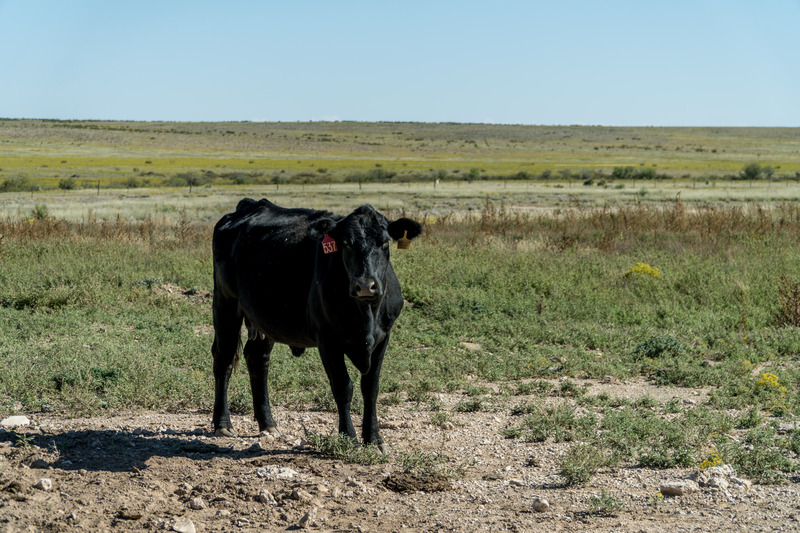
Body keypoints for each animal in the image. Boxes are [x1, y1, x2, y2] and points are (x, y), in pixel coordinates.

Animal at [212, 197, 424, 450]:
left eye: (384, 243)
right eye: (346, 244)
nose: (365, 285)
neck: (366, 315)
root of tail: (249, 205)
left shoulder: (383, 337)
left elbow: (371, 387)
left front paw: (374, 438)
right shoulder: (327, 340)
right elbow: (343, 387)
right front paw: (348, 437)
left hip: (264, 320)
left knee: (257, 358)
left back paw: (268, 424)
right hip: (225, 305)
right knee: (223, 359)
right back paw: (223, 424)